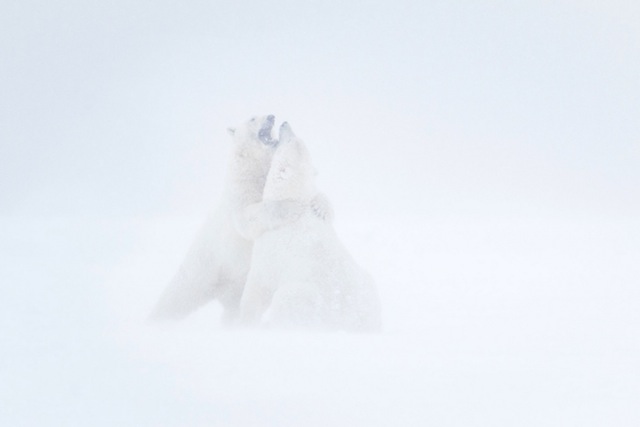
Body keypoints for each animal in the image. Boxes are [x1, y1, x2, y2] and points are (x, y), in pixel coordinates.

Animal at [152, 115, 308, 322]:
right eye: (252, 118)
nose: (271, 116)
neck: (255, 168)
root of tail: (217, 290)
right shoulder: (240, 189)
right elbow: (247, 219)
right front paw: (291, 207)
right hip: (204, 265)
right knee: (176, 297)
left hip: (233, 286)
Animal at [239, 122, 380, 332]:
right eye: (296, 137)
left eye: (290, 140)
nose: (285, 123)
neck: (295, 200)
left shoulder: (269, 250)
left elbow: (258, 287)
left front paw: (244, 323)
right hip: (367, 285)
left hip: (306, 298)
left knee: (286, 299)